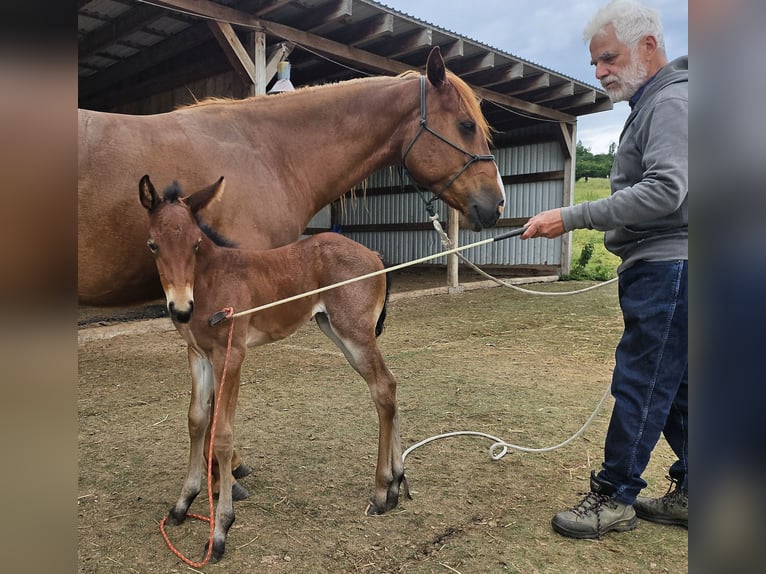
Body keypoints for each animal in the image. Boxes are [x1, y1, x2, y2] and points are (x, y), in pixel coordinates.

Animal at [139, 174, 408, 563]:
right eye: (153, 245)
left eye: (195, 244)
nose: (181, 308)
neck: (209, 281)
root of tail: (375, 256)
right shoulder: (197, 354)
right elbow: (196, 421)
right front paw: (182, 503)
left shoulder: (231, 354)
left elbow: (222, 434)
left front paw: (220, 530)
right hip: (337, 332)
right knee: (387, 387)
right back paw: (398, 482)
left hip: (354, 334)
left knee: (384, 389)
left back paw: (382, 491)